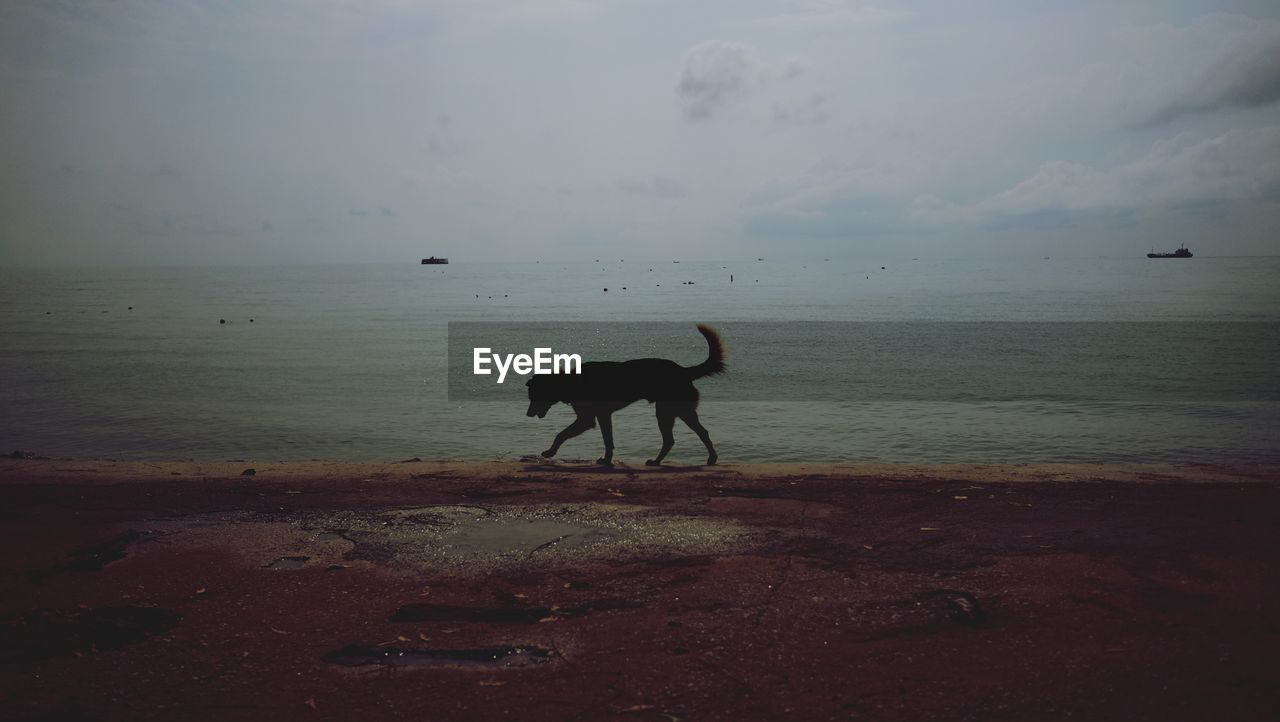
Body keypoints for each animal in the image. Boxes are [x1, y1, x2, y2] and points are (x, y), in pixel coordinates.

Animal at [527, 325, 727, 468]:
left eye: (533, 395)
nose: (528, 414)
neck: (570, 381)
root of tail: (684, 371)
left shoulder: (586, 419)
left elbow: (561, 434)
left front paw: (549, 452)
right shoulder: (603, 416)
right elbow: (608, 440)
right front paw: (607, 460)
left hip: (667, 411)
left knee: (676, 438)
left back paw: (662, 461)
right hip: (677, 411)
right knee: (695, 433)